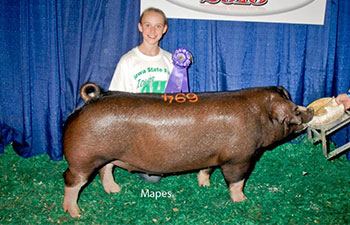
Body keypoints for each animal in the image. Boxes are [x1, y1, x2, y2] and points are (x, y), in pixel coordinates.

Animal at [61, 83, 314, 218]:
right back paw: (76, 213)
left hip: (105, 156)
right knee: (71, 180)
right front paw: (242, 200)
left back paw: (115, 191)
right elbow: (236, 181)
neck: (258, 115)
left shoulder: (212, 156)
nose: (309, 110)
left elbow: (206, 170)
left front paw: (205, 186)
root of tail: (90, 101)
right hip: (82, 159)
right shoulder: (239, 159)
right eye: (295, 110)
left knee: (106, 170)